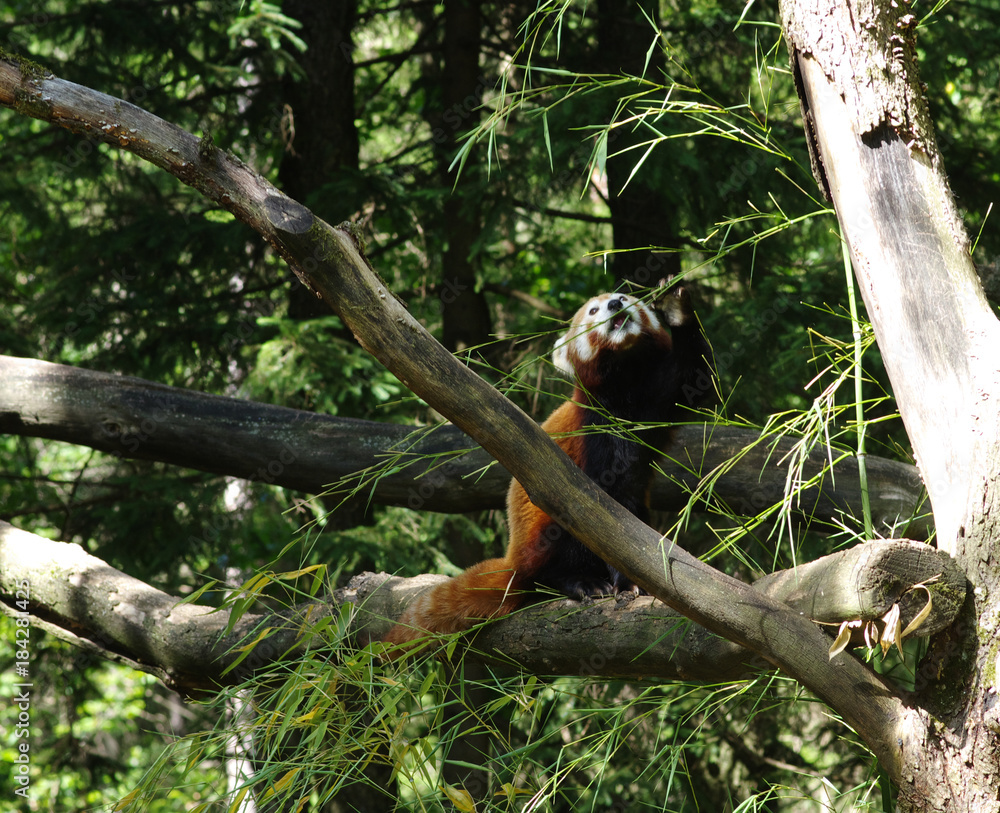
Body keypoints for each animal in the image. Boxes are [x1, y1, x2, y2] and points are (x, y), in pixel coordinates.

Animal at [382, 282, 712, 652]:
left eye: (625, 298)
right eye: (593, 311)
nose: (615, 304)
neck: (625, 381)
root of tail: (514, 560)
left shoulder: (657, 397)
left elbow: (697, 373)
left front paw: (677, 309)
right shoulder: (593, 433)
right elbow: (609, 520)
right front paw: (624, 583)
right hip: (542, 534)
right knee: (553, 557)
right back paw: (580, 581)